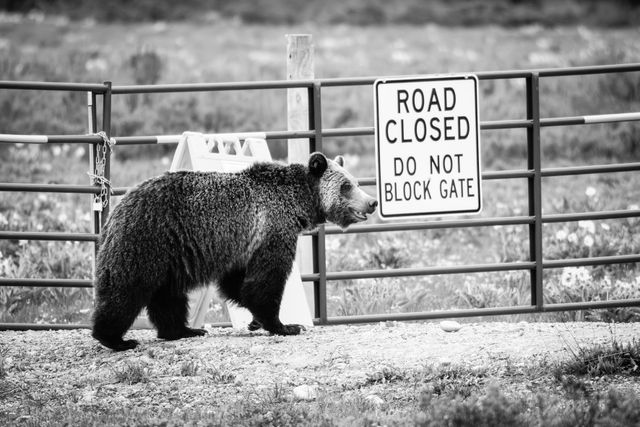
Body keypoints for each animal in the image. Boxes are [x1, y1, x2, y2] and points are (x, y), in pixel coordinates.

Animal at [92, 153, 378, 352]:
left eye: (355, 181)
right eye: (346, 185)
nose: (372, 202)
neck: (297, 202)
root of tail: (118, 206)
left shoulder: (243, 246)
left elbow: (238, 284)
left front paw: (255, 321)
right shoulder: (272, 230)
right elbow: (266, 281)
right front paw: (285, 325)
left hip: (170, 255)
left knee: (168, 295)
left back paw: (183, 330)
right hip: (146, 240)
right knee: (127, 289)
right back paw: (115, 339)